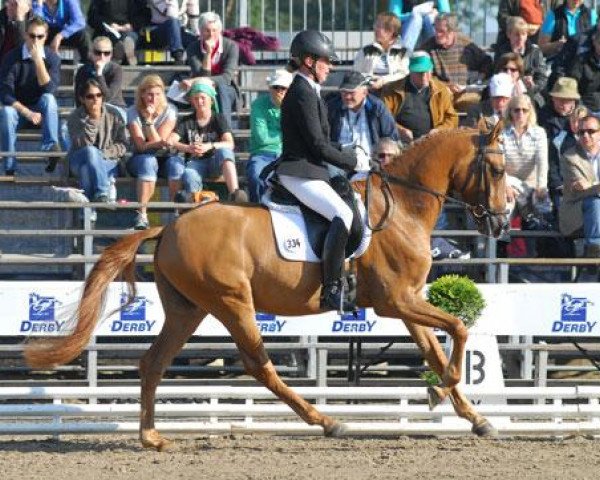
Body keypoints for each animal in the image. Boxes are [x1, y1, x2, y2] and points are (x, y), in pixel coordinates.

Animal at [25, 124, 508, 450]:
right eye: (499, 169)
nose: (503, 222)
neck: (403, 208)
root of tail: (170, 228)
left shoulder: (408, 301)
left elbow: (437, 349)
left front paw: (474, 417)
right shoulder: (397, 301)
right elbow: (459, 330)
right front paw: (437, 392)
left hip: (187, 310)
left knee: (153, 364)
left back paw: (151, 437)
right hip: (232, 302)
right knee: (259, 366)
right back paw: (326, 421)